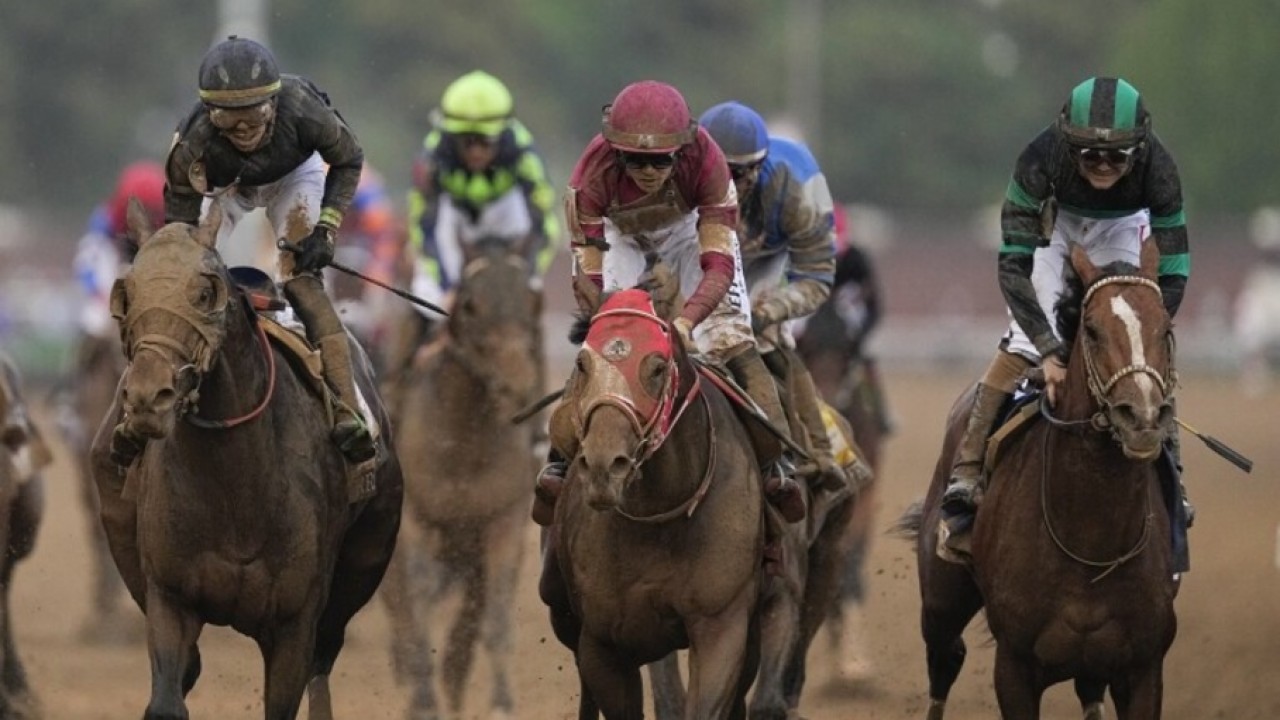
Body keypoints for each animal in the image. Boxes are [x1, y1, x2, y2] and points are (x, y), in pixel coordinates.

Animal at [88, 202, 399, 717]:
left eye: (204, 292)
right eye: (126, 294)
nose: (148, 397)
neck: (236, 487)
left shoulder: (294, 622)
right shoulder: (171, 598)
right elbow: (167, 698)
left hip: (365, 561)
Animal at [540, 281, 757, 717]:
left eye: (657, 367)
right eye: (583, 364)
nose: (604, 466)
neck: (660, 516)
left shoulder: (722, 621)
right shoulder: (602, 642)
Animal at [911, 238, 1177, 712]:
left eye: (1164, 328)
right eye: (1091, 329)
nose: (1142, 417)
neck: (1091, 540)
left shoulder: (1143, 667)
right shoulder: (1014, 667)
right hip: (941, 600)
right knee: (945, 657)